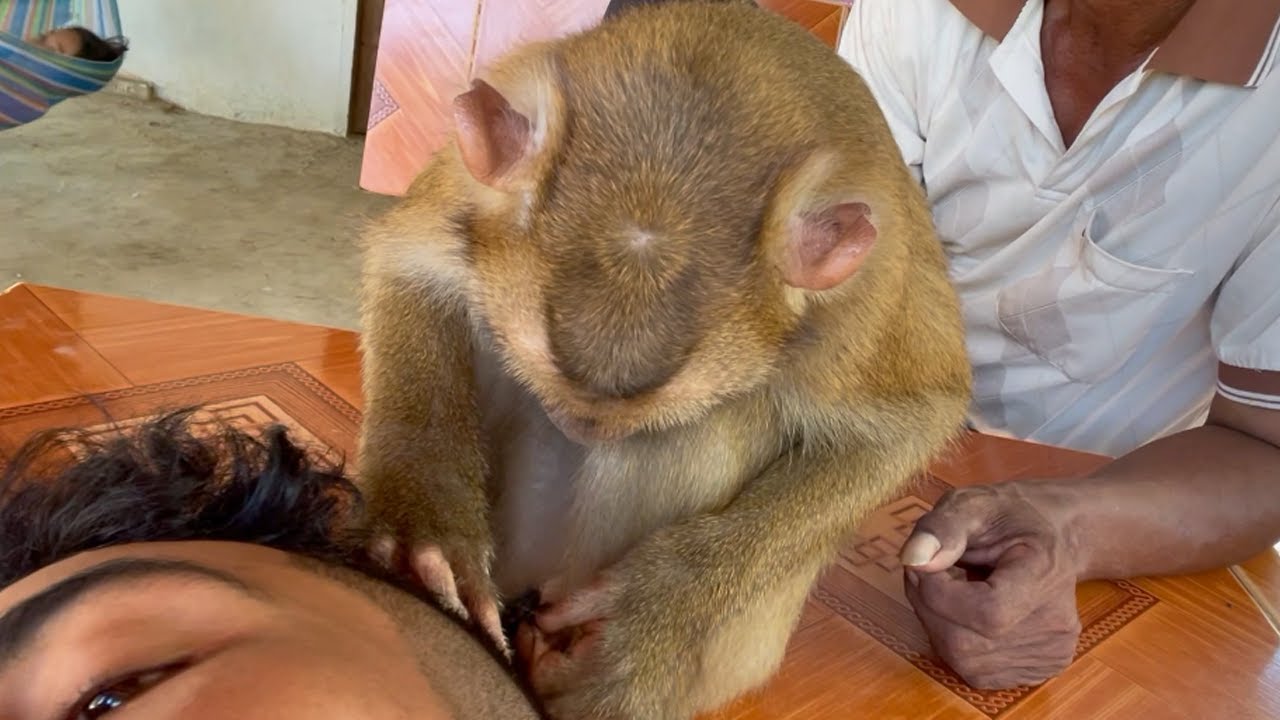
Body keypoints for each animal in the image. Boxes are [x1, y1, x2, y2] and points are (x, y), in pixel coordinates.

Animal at [355, 1, 972, 718]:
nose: (582, 426)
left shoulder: (868, 290)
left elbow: (911, 423)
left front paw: (656, 604)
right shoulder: (479, 171)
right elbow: (412, 263)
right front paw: (427, 523)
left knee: (709, 428)